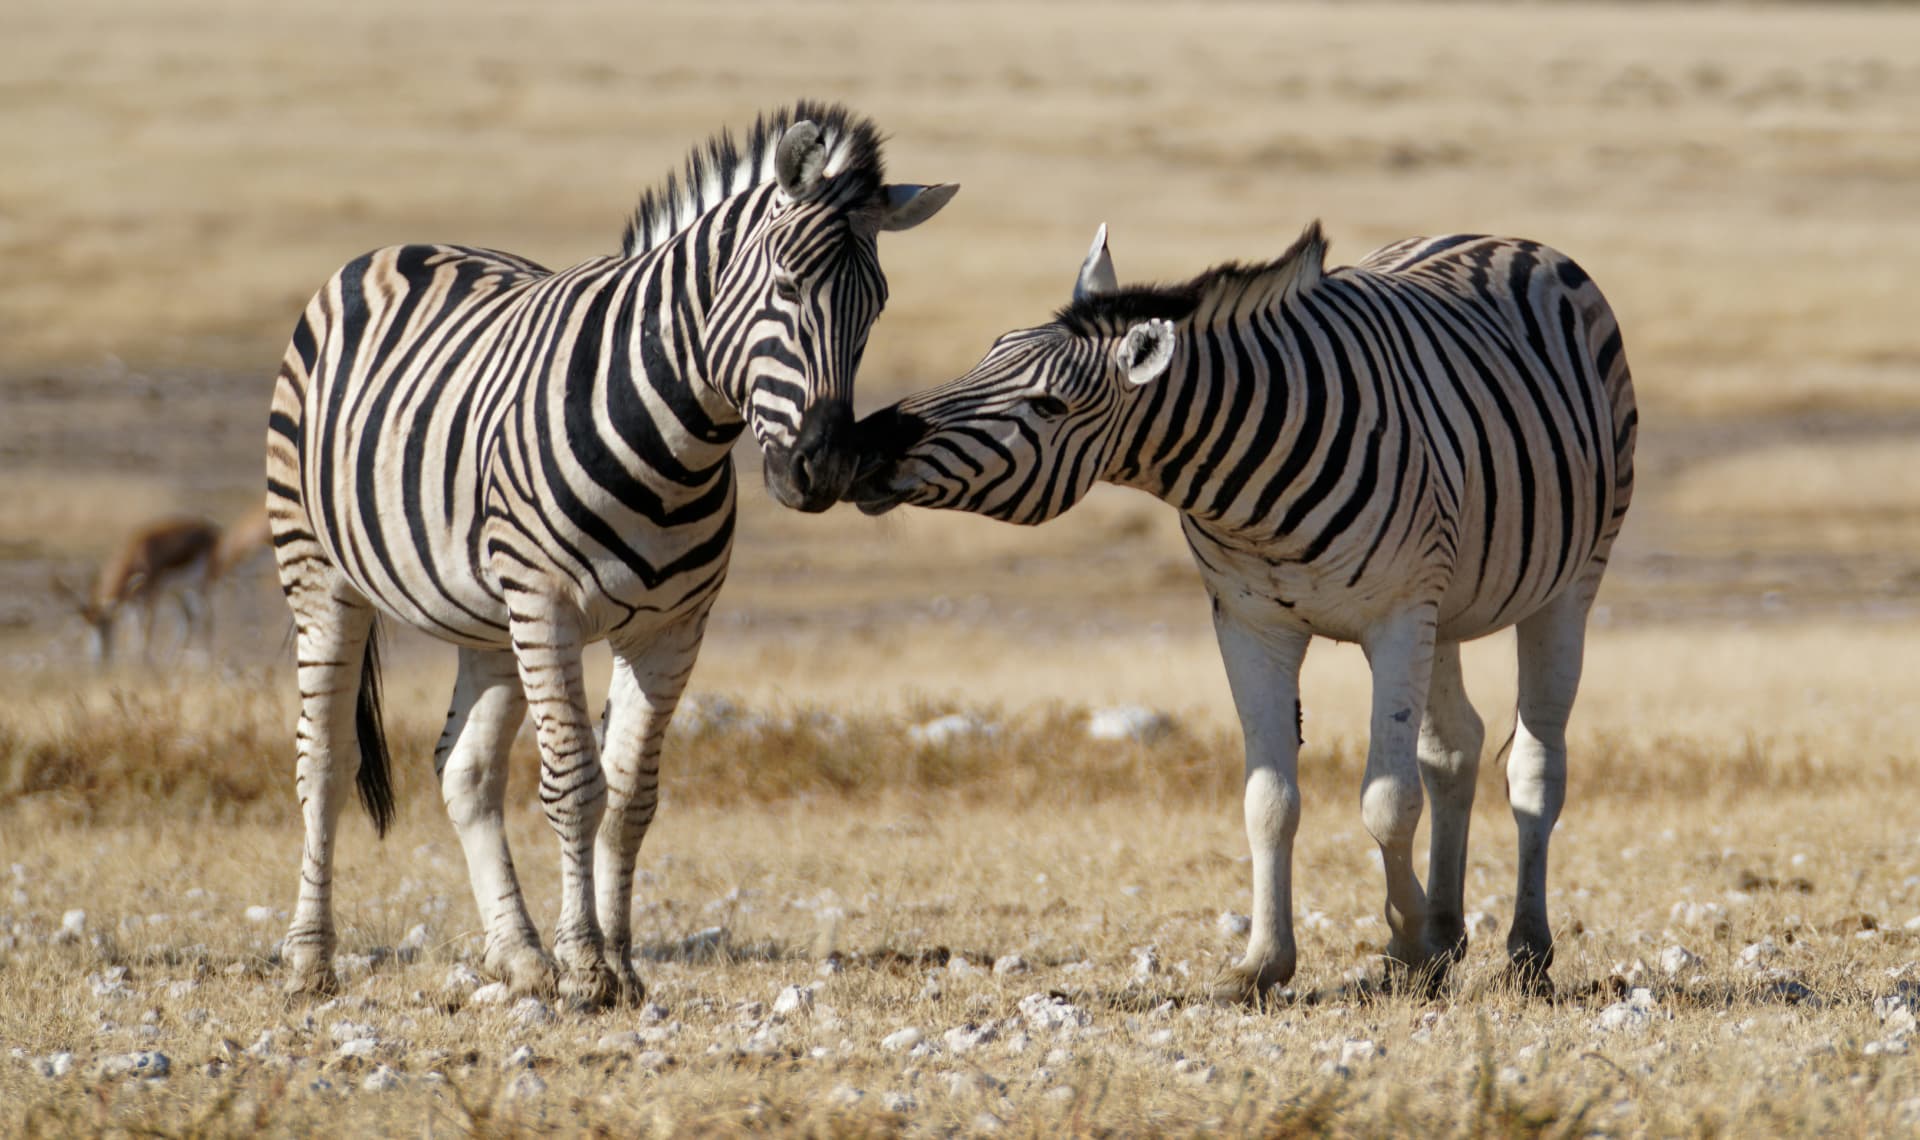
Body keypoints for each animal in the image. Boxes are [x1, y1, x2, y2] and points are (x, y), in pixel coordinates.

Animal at [265, 102, 955, 1009]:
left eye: (875, 308)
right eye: (786, 286)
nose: (826, 469)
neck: (676, 439)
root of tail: (392, 250)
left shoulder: (672, 630)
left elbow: (631, 795)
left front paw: (618, 964)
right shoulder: (549, 608)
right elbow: (574, 785)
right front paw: (587, 968)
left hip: (490, 620)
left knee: (465, 771)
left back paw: (519, 955)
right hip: (323, 575)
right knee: (324, 761)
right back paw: (310, 961)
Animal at [848, 221, 1636, 999]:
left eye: (1048, 406)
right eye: (990, 351)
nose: (864, 446)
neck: (1254, 481)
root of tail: (1508, 241)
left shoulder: (1396, 617)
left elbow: (1387, 800)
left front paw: (1407, 944)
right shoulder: (1251, 622)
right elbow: (1269, 800)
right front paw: (1268, 962)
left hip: (1566, 583)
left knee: (1535, 764)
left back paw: (1526, 950)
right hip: (1444, 603)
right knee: (1455, 748)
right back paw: (1448, 928)